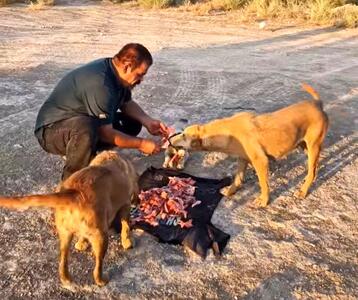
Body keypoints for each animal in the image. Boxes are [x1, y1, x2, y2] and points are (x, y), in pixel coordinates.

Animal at [0, 151, 138, 288]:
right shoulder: (125, 205)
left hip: (65, 233)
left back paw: (66, 277)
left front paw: (81, 243)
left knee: (63, 259)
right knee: (98, 264)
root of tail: (75, 193)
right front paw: (127, 242)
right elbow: (125, 226)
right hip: (101, 236)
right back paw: (101, 280)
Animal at [169, 84, 328, 206]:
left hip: (313, 145)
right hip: (304, 146)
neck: (226, 131)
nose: (169, 139)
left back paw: (303, 190)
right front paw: (230, 191)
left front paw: (263, 201)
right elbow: (237, 179)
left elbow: (263, 184)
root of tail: (317, 104)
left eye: (184, 135)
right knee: (314, 168)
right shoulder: (242, 159)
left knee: (312, 170)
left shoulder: (260, 161)